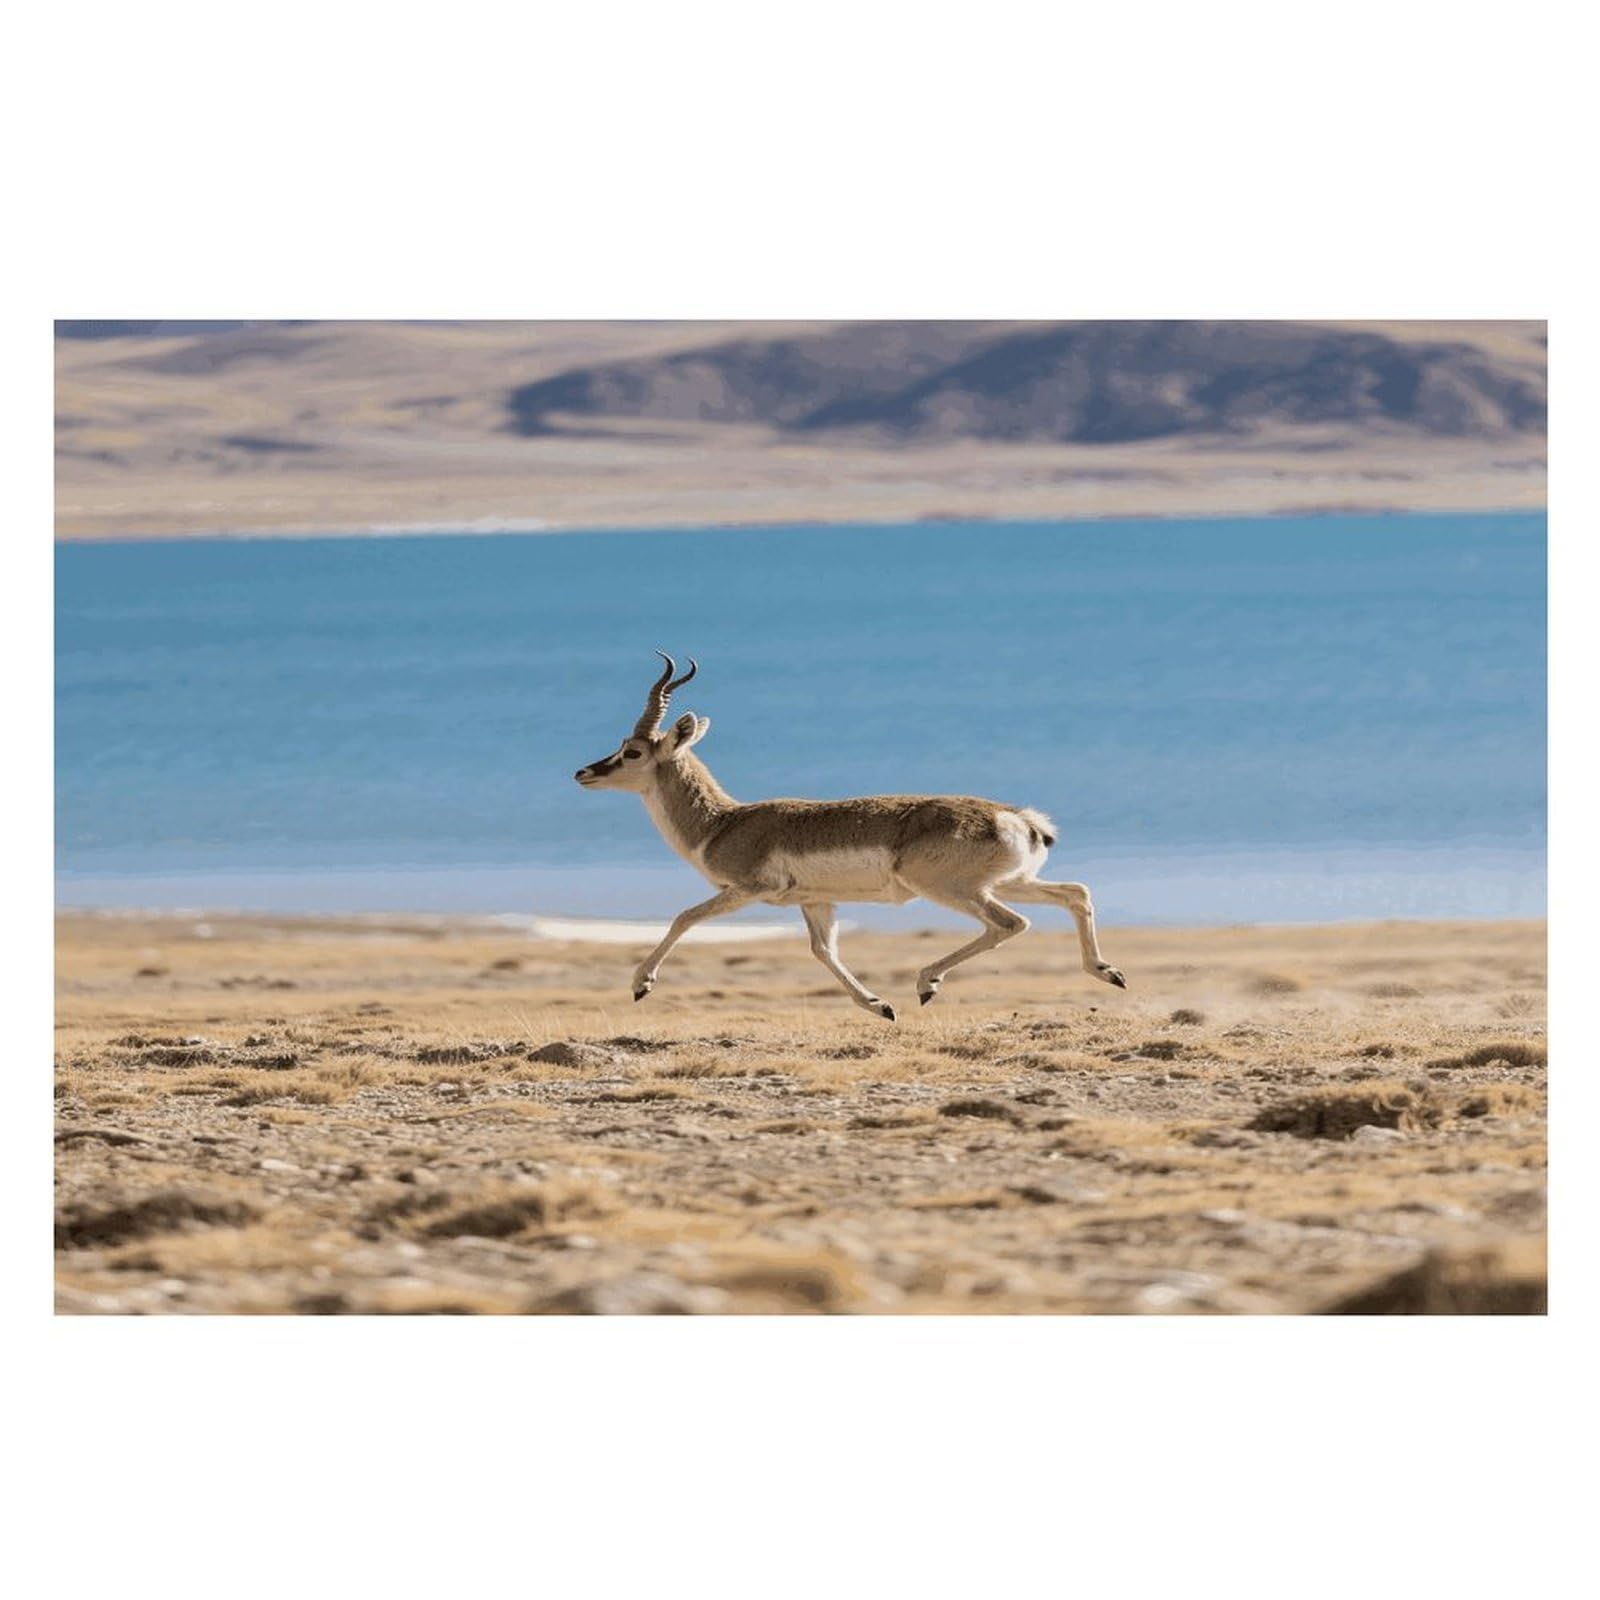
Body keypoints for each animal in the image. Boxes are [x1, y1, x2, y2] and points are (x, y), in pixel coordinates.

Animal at [573, 652, 1126, 1020]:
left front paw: (641, 985)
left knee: (1010, 924)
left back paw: (927, 982)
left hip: (953, 890)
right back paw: (1108, 972)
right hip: (1010, 882)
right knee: (1075, 893)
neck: (722, 823)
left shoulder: (746, 890)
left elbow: (683, 917)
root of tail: (1019, 818)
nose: (584, 772)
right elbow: (825, 952)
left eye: (632, 752)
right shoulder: (816, 902)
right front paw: (879, 1005)